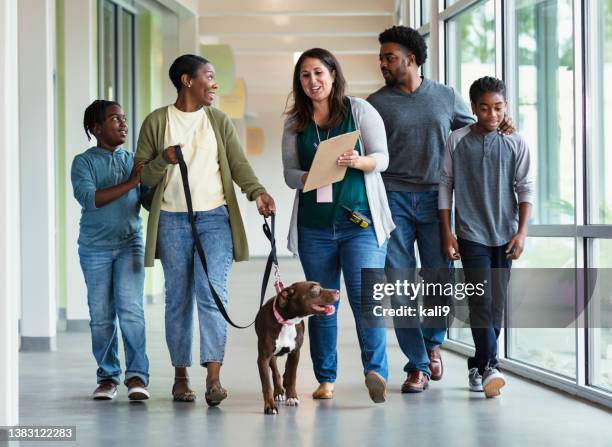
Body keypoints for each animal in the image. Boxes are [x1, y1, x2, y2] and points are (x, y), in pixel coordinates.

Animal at [253, 282, 340, 414]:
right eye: (315, 289)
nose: (337, 291)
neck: (286, 322)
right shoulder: (263, 358)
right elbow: (266, 384)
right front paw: (270, 406)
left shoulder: (295, 353)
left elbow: (292, 377)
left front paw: (292, 397)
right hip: (271, 356)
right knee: (275, 371)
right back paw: (278, 391)